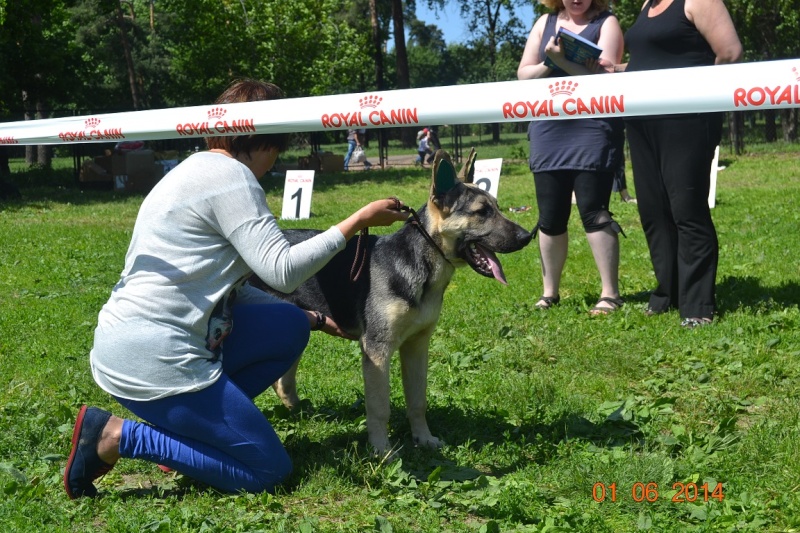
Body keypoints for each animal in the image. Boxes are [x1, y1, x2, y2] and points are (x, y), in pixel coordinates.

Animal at [252, 150, 532, 454]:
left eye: (498, 207)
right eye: (481, 212)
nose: (528, 236)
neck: (421, 266)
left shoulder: (417, 346)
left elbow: (418, 400)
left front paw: (423, 438)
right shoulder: (378, 350)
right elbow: (379, 407)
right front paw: (381, 450)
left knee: (283, 381)